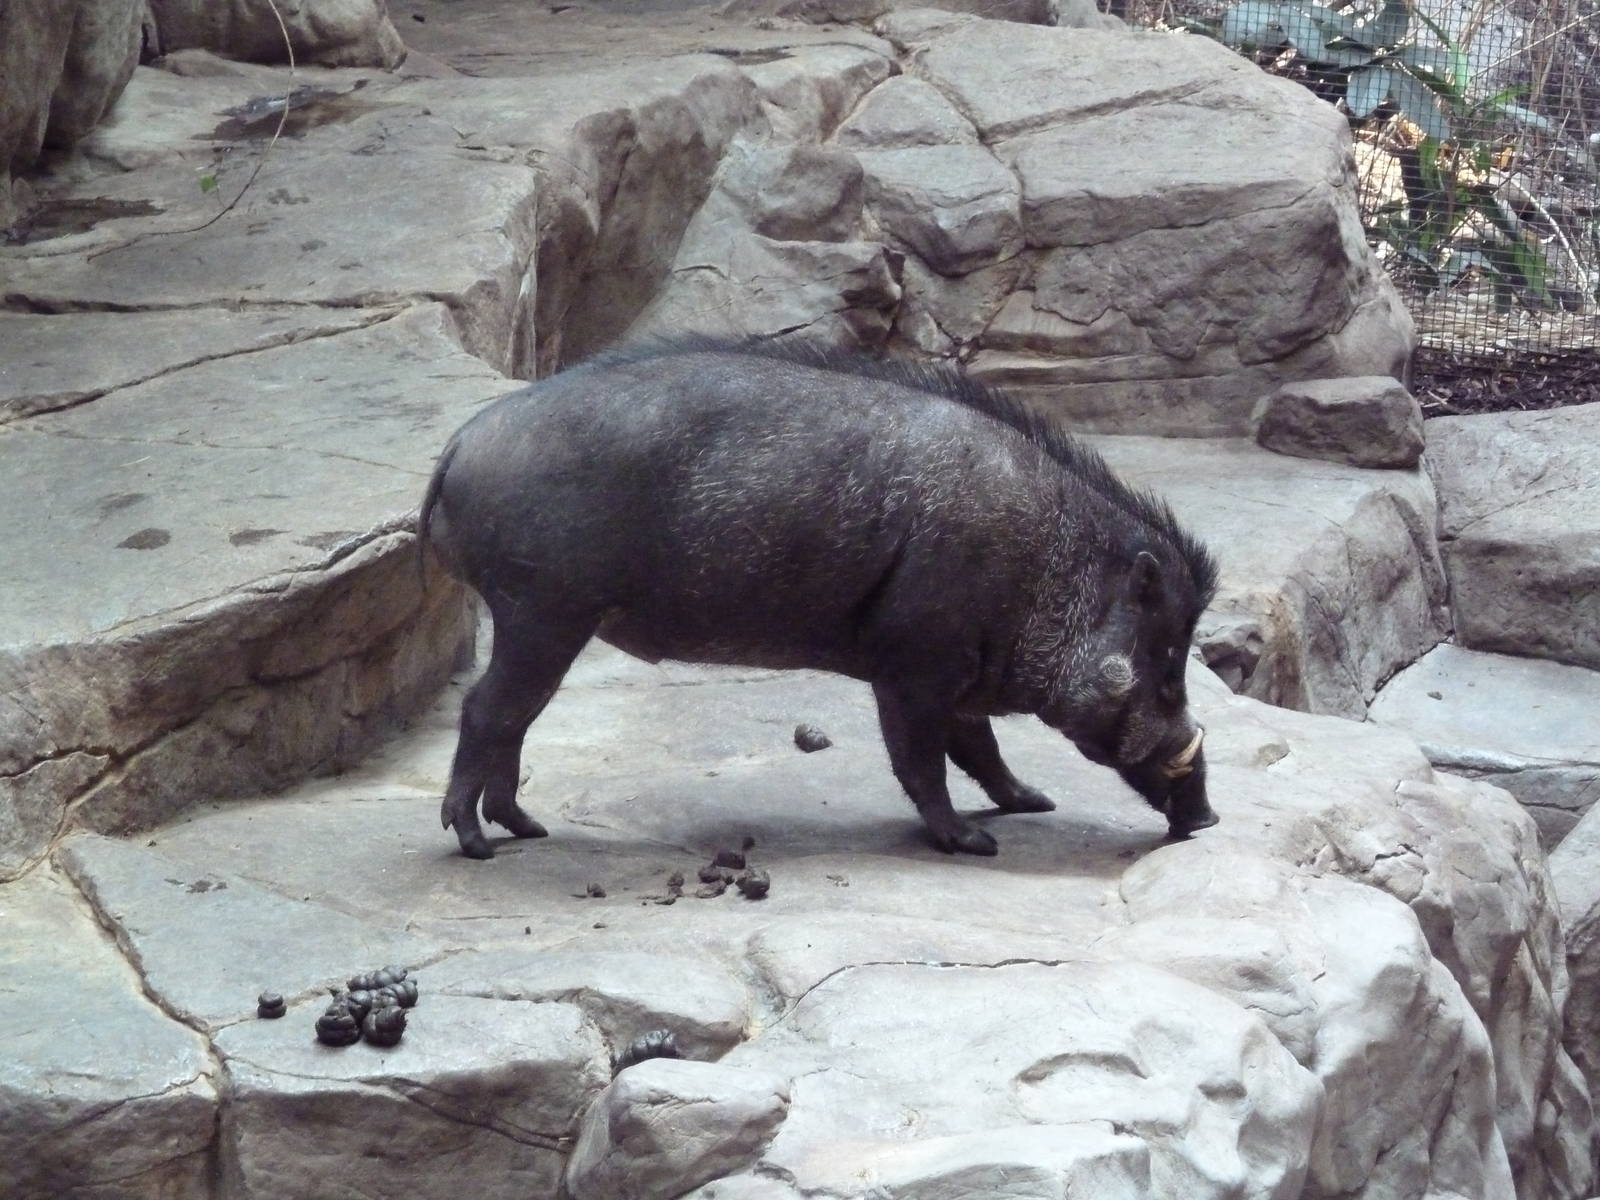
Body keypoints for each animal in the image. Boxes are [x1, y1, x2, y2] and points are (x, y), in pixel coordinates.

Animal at [418, 339, 1219, 860]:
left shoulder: (958, 673)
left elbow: (981, 749)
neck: (1043, 562)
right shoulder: (913, 665)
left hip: (545, 618)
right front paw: (975, 842)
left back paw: (527, 829)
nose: (1209, 818)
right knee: (486, 710)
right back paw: (478, 845)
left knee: (515, 718)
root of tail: (457, 449)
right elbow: (922, 760)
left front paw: (1036, 802)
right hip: (541, 609)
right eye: (1166, 656)